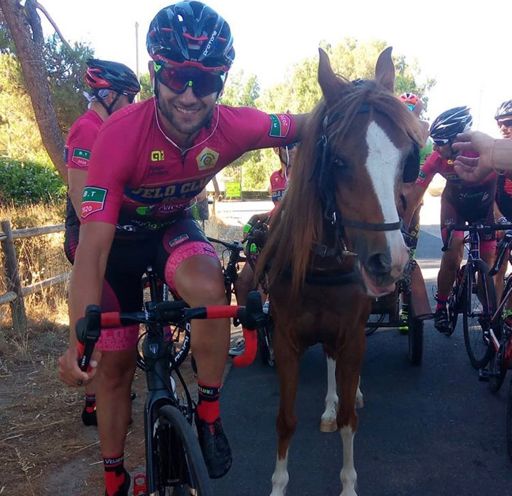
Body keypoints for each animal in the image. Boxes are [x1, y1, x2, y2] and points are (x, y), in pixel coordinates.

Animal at [256, 47, 424, 496]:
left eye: (407, 161)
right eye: (337, 160)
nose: (389, 262)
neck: (322, 261)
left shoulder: (351, 333)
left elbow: (351, 420)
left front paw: (348, 484)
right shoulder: (285, 340)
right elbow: (284, 421)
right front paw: (278, 484)